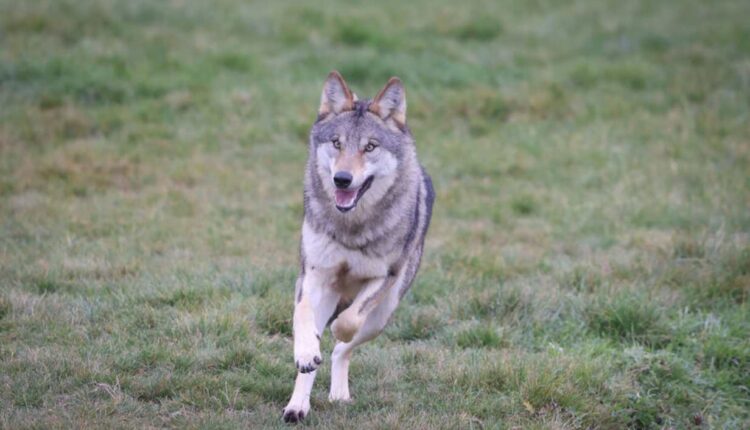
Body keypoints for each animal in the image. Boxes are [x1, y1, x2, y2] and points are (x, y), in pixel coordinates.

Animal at [281, 71, 434, 423]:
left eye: (370, 147)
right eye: (337, 143)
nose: (342, 179)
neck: (350, 226)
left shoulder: (384, 277)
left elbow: (349, 322)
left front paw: (338, 329)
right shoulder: (312, 276)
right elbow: (303, 315)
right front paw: (307, 350)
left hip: (382, 316)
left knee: (342, 349)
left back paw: (338, 392)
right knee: (314, 358)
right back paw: (297, 406)